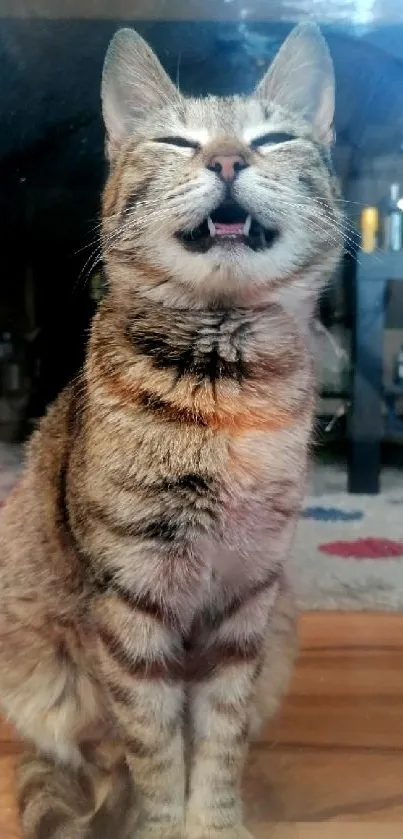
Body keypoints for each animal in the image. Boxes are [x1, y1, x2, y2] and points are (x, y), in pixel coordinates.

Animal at [0, 19, 342, 839]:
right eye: (175, 141)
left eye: (273, 137)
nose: (226, 158)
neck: (225, 387)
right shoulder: (131, 603)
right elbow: (153, 747)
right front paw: (162, 823)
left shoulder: (247, 601)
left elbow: (218, 737)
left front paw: (215, 823)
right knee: (93, 753)